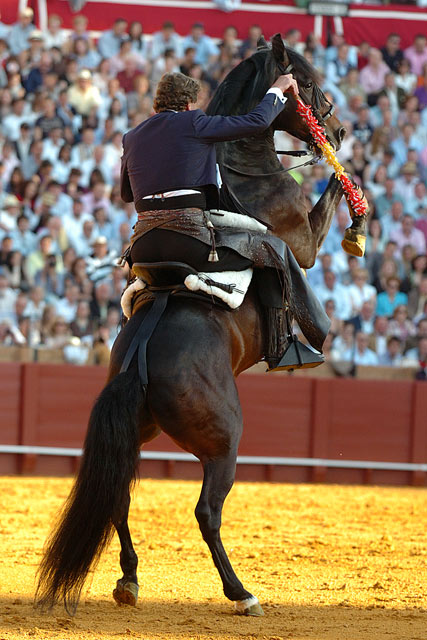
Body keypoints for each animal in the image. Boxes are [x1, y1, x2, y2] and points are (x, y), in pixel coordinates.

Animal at [37, 33, 348, 616]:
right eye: (308, 81)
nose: (337, 130)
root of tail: (142, 348)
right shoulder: (302, 244)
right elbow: (329, 201)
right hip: (224, 441)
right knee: (207, 511)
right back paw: (241, 593)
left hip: (136, 432)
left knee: (118, 496)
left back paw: (129, 581)